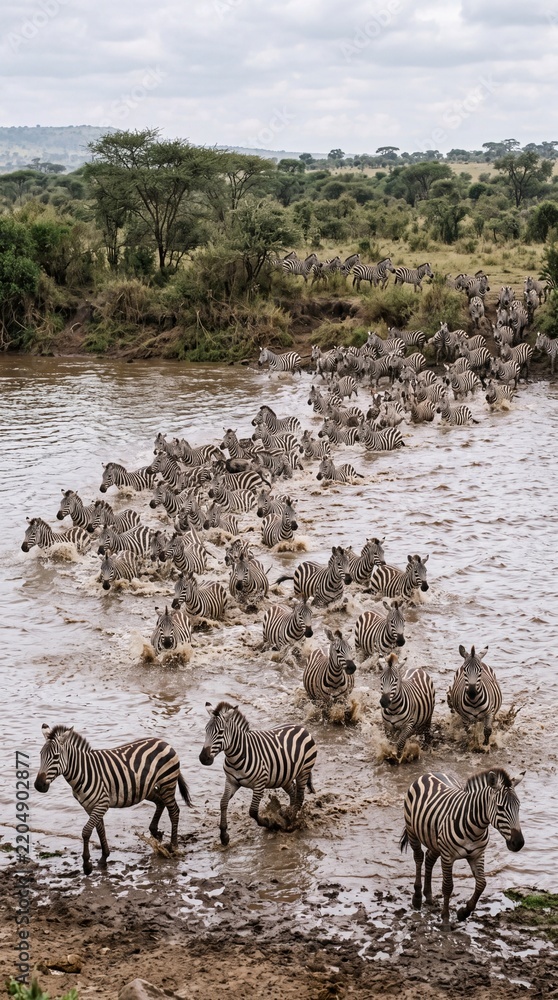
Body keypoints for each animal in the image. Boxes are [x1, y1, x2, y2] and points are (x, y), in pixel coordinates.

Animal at [34, 724, 191, 875]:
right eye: (40, 755)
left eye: (56, 757)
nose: (38, 786)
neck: (83, 772)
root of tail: (164, 742)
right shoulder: (90, 806)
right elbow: (100, 830)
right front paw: (104, 857)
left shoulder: (102, 803)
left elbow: (86, 831)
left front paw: (87, 865)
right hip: (148, 789)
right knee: (160, 802)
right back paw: (155, 832)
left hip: (167, 784)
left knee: (174, 811)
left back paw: (174, 846)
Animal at [200, 702, 317, 845]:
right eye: (206, 730)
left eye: (220, 732)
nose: (203, 758)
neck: (236, 756)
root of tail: (300, 727)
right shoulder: (231, 781)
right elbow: (223, 803)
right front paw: (224, 835)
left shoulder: (259, 784)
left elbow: (253, 812)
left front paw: (271, 824)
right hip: (284, 776)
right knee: (293, 792)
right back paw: (286, 816)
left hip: (303, 771)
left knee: (299, 796)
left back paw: (290, 823)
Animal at [400, 768, 524, 929]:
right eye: (500, 807)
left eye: (519, 806)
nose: (519, 843)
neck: (475, 827)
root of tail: (429, 773)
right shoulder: (447, 856)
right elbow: (447, 886)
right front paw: (446, 919)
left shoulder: (478, 855)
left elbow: (481, 884)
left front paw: (463, 912)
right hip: (412, 830)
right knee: (419, 857)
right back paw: (417, 898)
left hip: (435, 841)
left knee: (429, 859)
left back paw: (428, 896)